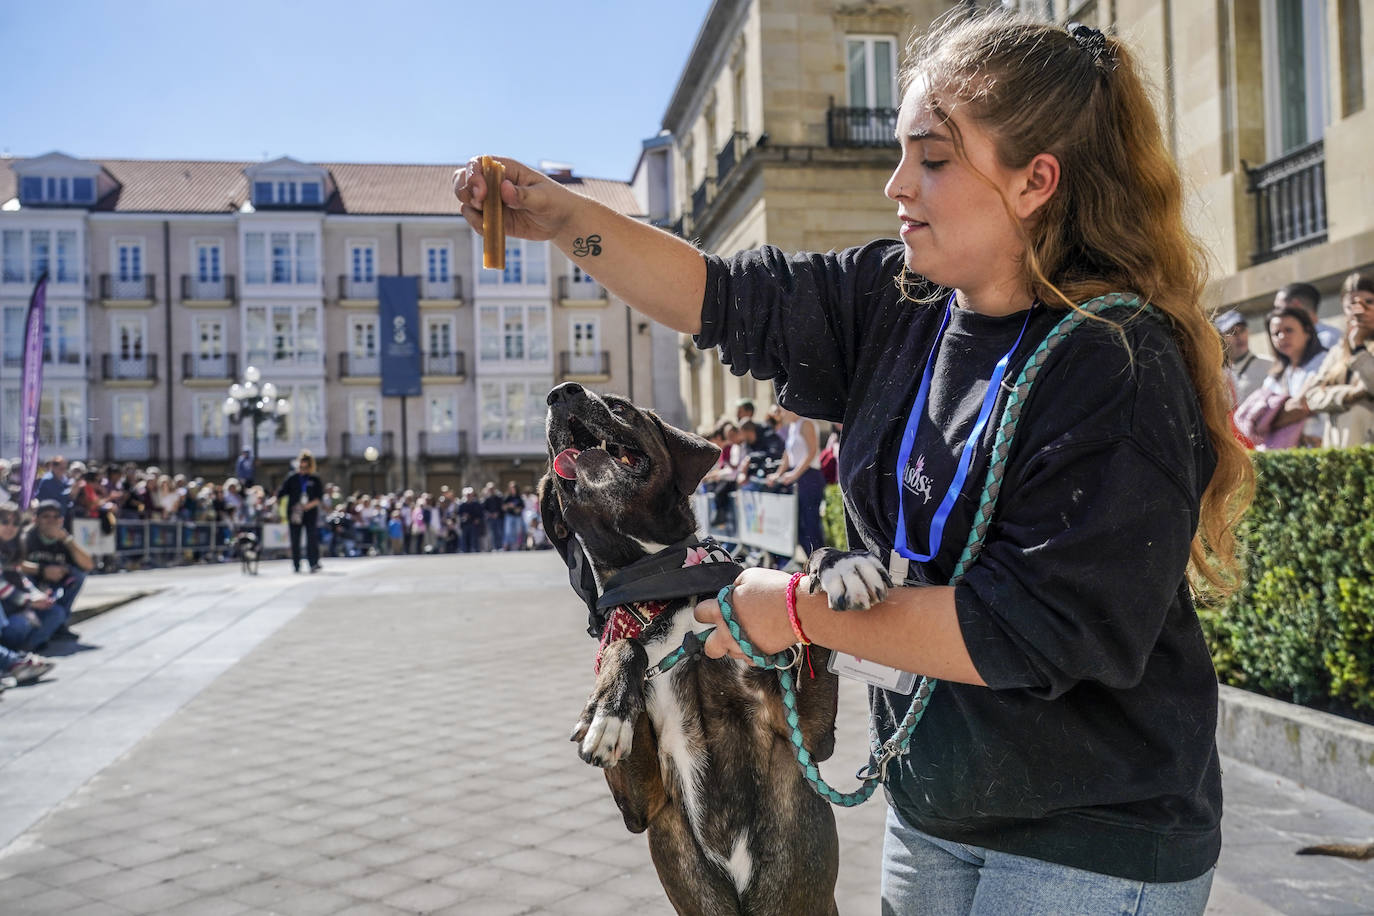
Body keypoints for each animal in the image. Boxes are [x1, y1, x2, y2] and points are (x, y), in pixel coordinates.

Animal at [541, 384, 895, 916]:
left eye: (619, 406)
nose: (561, 393)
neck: (664, 582)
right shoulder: (641, 805)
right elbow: (627, 645)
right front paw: (609, 712)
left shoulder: (807, 736)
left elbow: (802, 563)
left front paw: (839, 562)